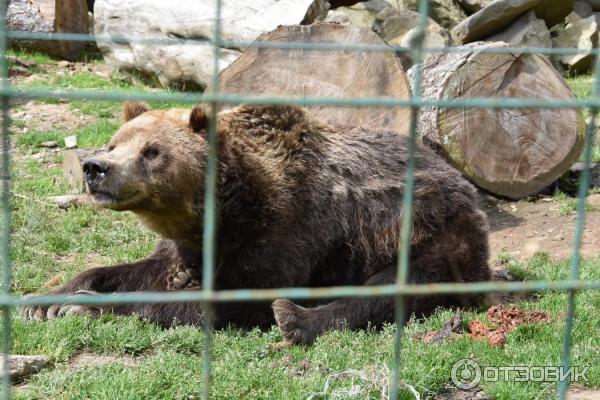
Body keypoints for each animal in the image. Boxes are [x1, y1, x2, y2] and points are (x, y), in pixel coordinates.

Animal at [23, 102, 492, 344]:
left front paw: (85, 304)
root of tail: (462, 181)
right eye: (115, 143)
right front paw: (47, 299)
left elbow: (238, 298)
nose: (95, 168)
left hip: (429, 232)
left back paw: (296, 318)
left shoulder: (285, 229)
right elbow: (137, 269)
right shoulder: (185, 245)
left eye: (152, 151)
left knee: (395, 287)